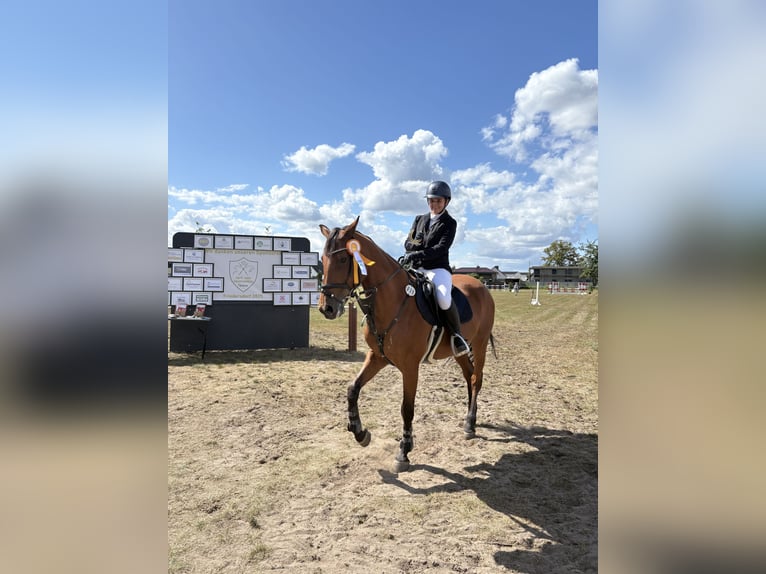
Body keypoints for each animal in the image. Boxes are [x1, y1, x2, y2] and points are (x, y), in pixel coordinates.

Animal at [318, 217, 496, 472]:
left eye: (343, 259)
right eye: (323, 260)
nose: (327, 308)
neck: (391, 301)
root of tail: (481, 286)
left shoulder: (410, 368)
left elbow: (407, 408)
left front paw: (404, 451)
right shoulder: (377, 357)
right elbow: (353, 389)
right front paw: (360, 432)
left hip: (480, 345)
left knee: (475, 379)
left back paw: (471, 424)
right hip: (460, 352)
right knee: (468, 376)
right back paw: (467, 421)